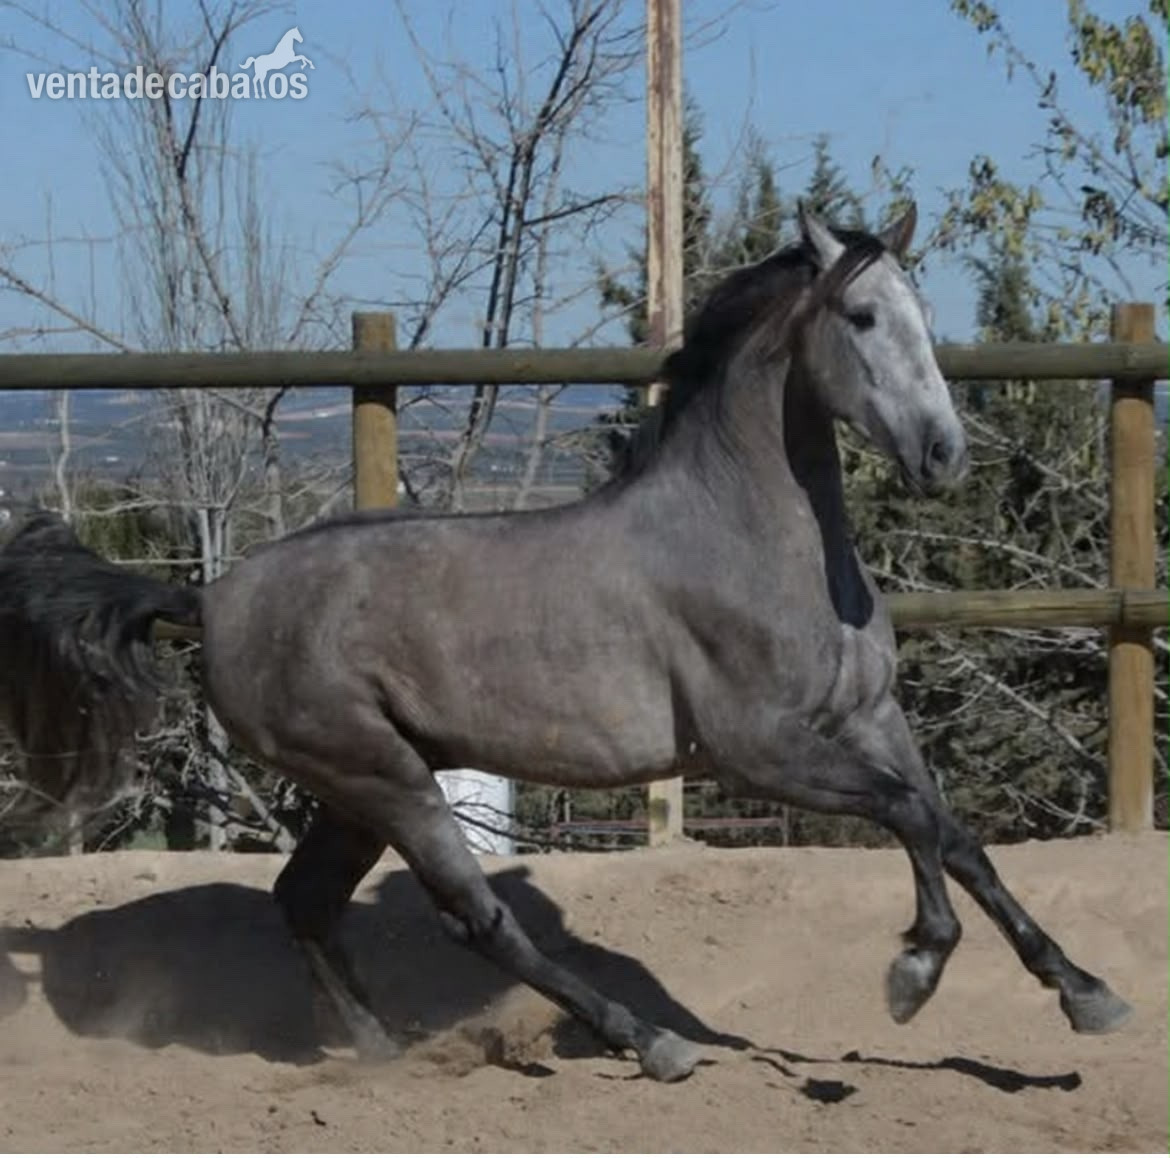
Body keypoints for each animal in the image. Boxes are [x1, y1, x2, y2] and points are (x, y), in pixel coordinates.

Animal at [0, 204, 1131, 1082]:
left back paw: (381, 1052)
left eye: (927, 318)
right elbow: (910, 817)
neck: (751, 536)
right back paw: (649, 1045)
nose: (943, 456)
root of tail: (212, 598)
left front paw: (1085, 994)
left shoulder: (868, 715)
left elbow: (954, 833)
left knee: (307, 902)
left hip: (356, 785)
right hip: (384, 779)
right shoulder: (758, 751)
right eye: (862, 317)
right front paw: (915, 973)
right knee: (474, 917)